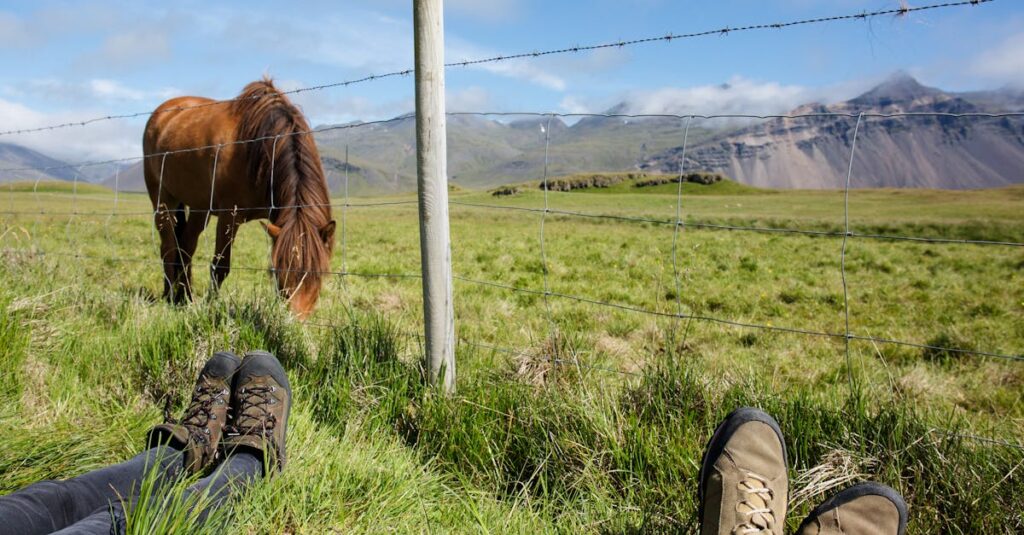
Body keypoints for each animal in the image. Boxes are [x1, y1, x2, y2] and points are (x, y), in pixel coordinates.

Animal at [143, 76, 335, 313]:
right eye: (279, 271)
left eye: (318, 273)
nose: (296, 317)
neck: (259, 148)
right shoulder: (229, 216)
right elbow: (220, 266)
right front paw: (211, 305)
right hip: (162, 200)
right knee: (168, 248)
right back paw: (169, 295)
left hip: (200, 207)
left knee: (186, 246)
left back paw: (184, 297)